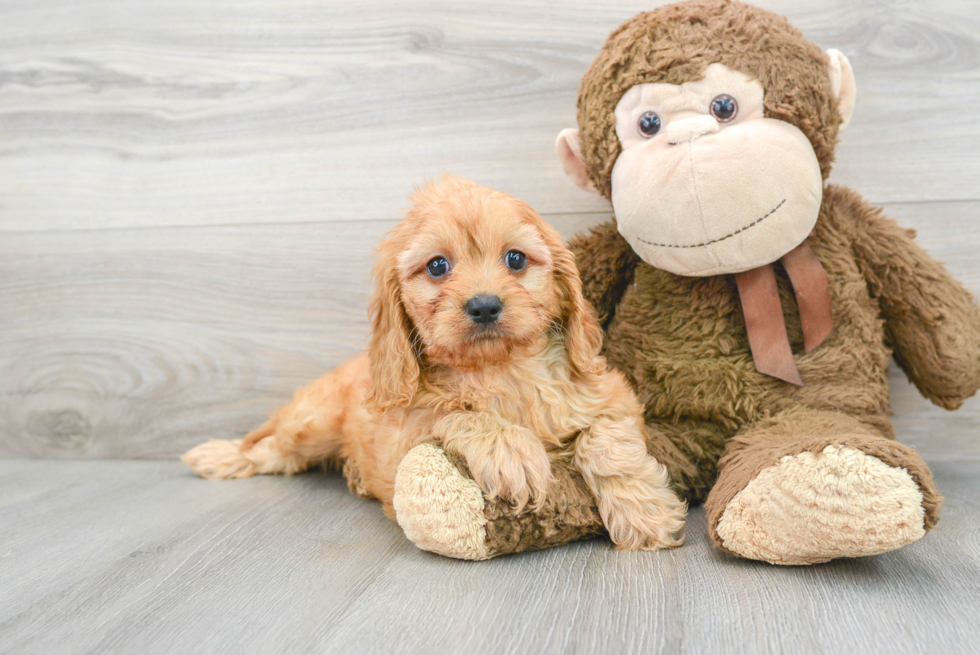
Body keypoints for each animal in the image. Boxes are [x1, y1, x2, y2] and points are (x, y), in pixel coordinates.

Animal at [186, 176, 688, 552]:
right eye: (437, 266)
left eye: (516, 259)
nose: (484, 306)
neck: (498, 369)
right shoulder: (402, 424)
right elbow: (451, 409)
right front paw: (511, 449)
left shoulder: (613, 397)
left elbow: (604, 439)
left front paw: (644, 514)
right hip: (313, 424)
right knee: (275, 449)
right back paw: (221, 455)